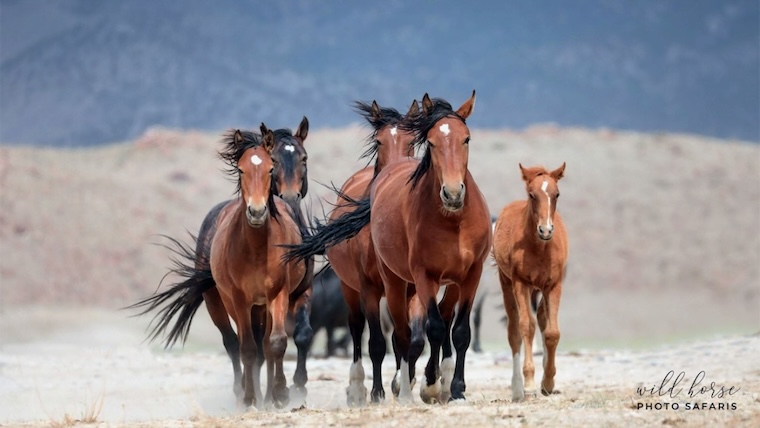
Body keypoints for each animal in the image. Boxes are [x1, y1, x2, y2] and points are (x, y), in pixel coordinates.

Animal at [286, 91, 492, 404]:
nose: (453, 193)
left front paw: (453, 388)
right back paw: (362, 388)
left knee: (419, 329)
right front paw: (392, 389)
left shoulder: (468, 276)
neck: (453, 221)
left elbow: (455, 333)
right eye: (431, 142)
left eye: (466, 139)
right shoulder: (400, 281)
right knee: (361, 329)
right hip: (362, 287)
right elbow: (386, 340)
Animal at [492, 163, 568, 402]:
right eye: (532, 195)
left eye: (557, 194)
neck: (539, 248)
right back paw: (517, 388)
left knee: (543, 317)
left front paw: (548, 382)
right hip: (507, 283)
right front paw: (529, 386)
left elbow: (552, 332)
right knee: (514, 330)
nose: (546, 230)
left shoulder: (554, 285)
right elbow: (526, 326)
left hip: (539, 289)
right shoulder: (521, 283)